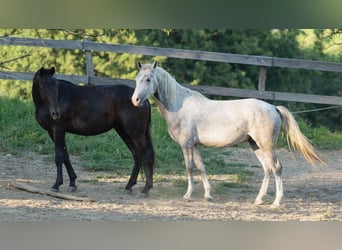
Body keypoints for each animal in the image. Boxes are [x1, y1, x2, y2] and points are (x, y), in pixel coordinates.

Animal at [32, 67, 155, 196]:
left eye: (56, 87)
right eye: (44, 87)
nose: (56, 113)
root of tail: (141, 99)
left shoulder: (58, 130)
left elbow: (59, 157)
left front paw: (56, 185)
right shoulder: (53, 132)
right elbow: (65, 156)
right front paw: (72, 183)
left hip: (135, 133)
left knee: (146, 153)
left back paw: (145, 189)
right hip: (124, 132)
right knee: (136, 155)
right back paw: (129, 186)